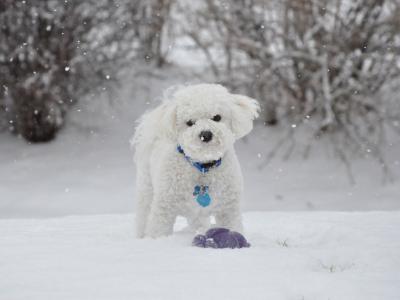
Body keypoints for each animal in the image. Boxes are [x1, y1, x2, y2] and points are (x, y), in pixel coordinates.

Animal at [133, 83, 260, 238]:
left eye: (217, 117)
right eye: (190, 122)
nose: (205, 134)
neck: (203, 167)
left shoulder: (228, 209)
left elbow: (232, 226)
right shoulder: (164, 208)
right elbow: (159, 230)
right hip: (146, 188)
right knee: (143, 214)